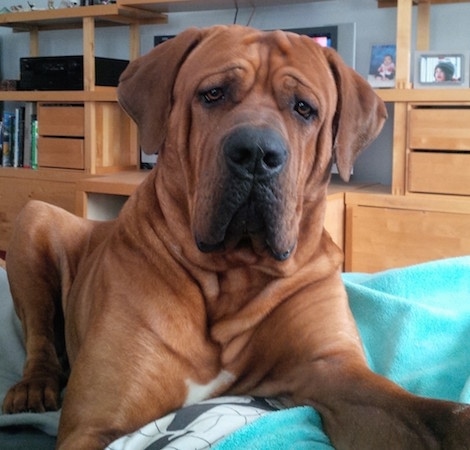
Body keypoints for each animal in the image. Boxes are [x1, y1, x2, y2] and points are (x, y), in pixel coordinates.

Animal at [2, 25, 470, 450]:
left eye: (304, 108)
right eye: (213, 94)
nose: (257, 153)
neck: (234, 275)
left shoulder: (333, 369)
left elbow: (431, 414)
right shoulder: (94, 425)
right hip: (34, 218)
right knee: (40, 336)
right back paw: (34, 387)